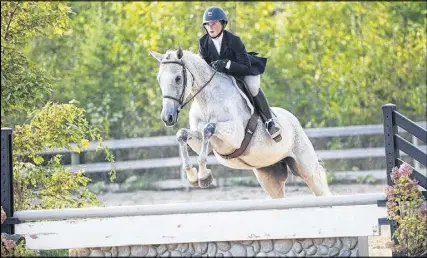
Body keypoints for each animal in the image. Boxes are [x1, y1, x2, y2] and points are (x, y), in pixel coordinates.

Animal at [150, 47, 334, 198]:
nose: (167, 117)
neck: (206, 101)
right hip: (269, 177)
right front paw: (192, 176)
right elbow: (182, 134)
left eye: (178, 78)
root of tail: (294, 120)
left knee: (321, 190)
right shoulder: (202, 142)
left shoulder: (235, 135)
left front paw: (203, 176)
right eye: (158, 79)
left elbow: (208, 129)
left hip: (307, 169)